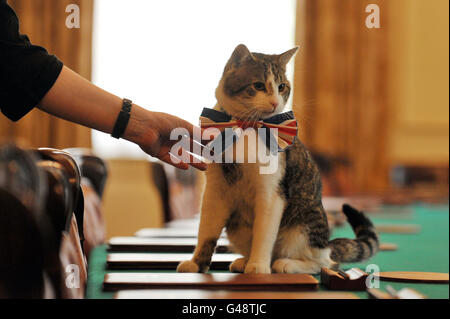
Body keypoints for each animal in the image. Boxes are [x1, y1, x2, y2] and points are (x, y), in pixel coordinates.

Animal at [176, 45, 376, 276]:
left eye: (282, 87)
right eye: (258, 85)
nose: (274, 102)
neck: (247, 127)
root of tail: (327, 243)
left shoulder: (271, 193)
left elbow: (263, 234)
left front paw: (258, 265)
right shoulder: (215, 191)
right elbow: (206, 231)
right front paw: (197, 263)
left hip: (302, 226)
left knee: (323, 262)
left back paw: (284, 264)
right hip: (237, 226)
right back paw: (244, 260)